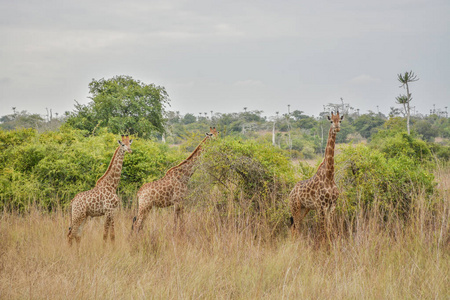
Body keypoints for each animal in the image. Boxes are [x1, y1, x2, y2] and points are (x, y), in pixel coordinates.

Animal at [288, 111, 344, 240]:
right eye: (331, 121)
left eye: (340, 120)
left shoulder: (332, 205)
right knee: (296, 227)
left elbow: (330, 229)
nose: (337, 127)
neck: (329, 176)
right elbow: (322, 231)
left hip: (304, 208)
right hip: (295, 207)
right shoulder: (321, 206)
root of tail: (291, 192)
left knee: (295, 228)